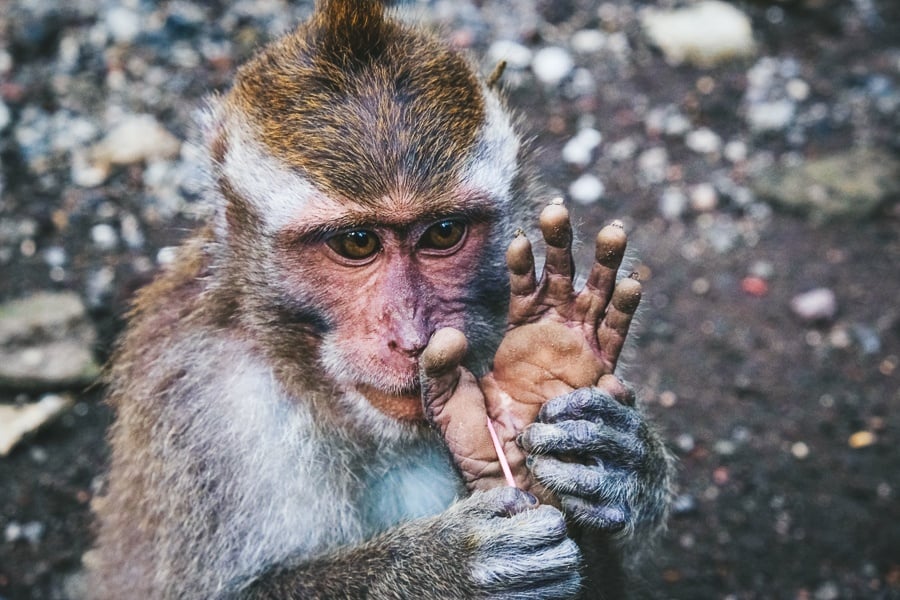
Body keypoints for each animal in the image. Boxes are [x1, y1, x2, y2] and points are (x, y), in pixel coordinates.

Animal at [89, 1, 668, 600]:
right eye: (356, 242)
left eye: (443, 233)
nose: (413, 339)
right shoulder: (208, 410)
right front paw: (449, 567)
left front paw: (606, 450)